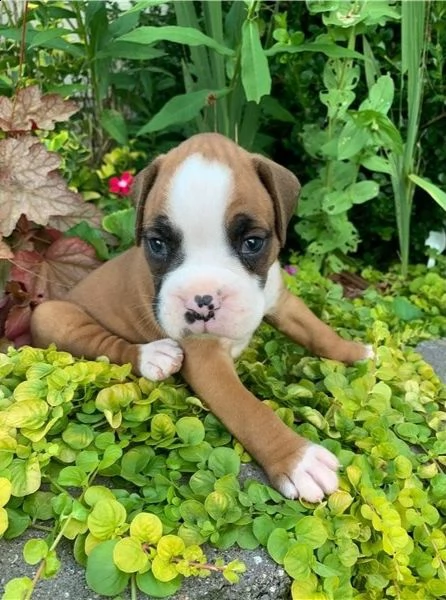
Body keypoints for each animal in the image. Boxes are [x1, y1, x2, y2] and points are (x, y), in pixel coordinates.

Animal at [31, 134, 372, 504]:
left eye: (252, 242)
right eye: (157, 244)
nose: (202, 303)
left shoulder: (281, 301)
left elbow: (319, 333)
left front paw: (357, 352)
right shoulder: (208, 363)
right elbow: (250, 410)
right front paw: (299, 460)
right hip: (49, 314)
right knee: (110, 347)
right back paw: (155, 356)